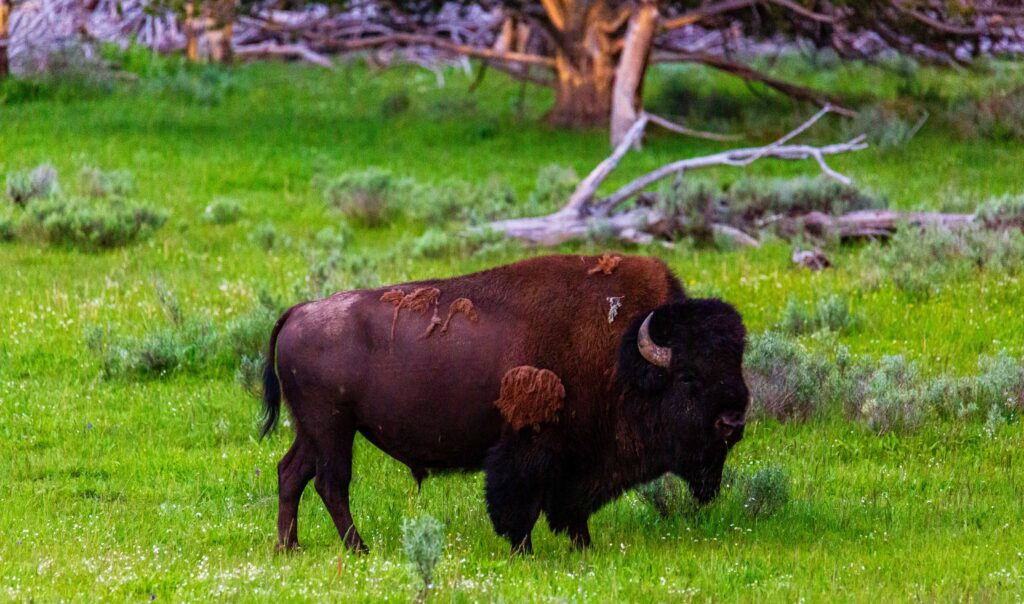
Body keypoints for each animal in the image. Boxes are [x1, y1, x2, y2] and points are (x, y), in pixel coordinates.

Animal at [261, 253, 749, 553]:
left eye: (737, 365)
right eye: (688, 377)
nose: (733, 421)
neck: (624, 356)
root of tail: (299, 311)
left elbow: (570, 509)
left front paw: (583, 548)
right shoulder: (530, 449)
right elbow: (520, 505)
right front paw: (525, 552)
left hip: (314, 429)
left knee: (292, 473)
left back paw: (290, 547)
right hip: (333, 427)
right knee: (331, 483)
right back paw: (358, 549)